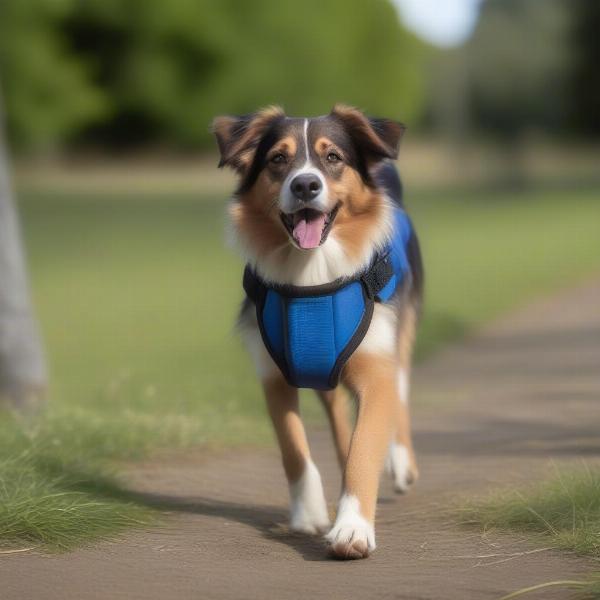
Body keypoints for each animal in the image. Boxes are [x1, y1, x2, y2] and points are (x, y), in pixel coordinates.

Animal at [213, 105, 424, 560]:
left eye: (333, 158)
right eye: (278, 158)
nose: (306, 184)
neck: (312, 276)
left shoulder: (376, 369)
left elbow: (365, 447)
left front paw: (353, 528)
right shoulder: (274, 376)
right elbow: (294, 449)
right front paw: (310, 513)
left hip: (402, 332)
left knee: (400, 395)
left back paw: (401, 462)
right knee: (338, 417)